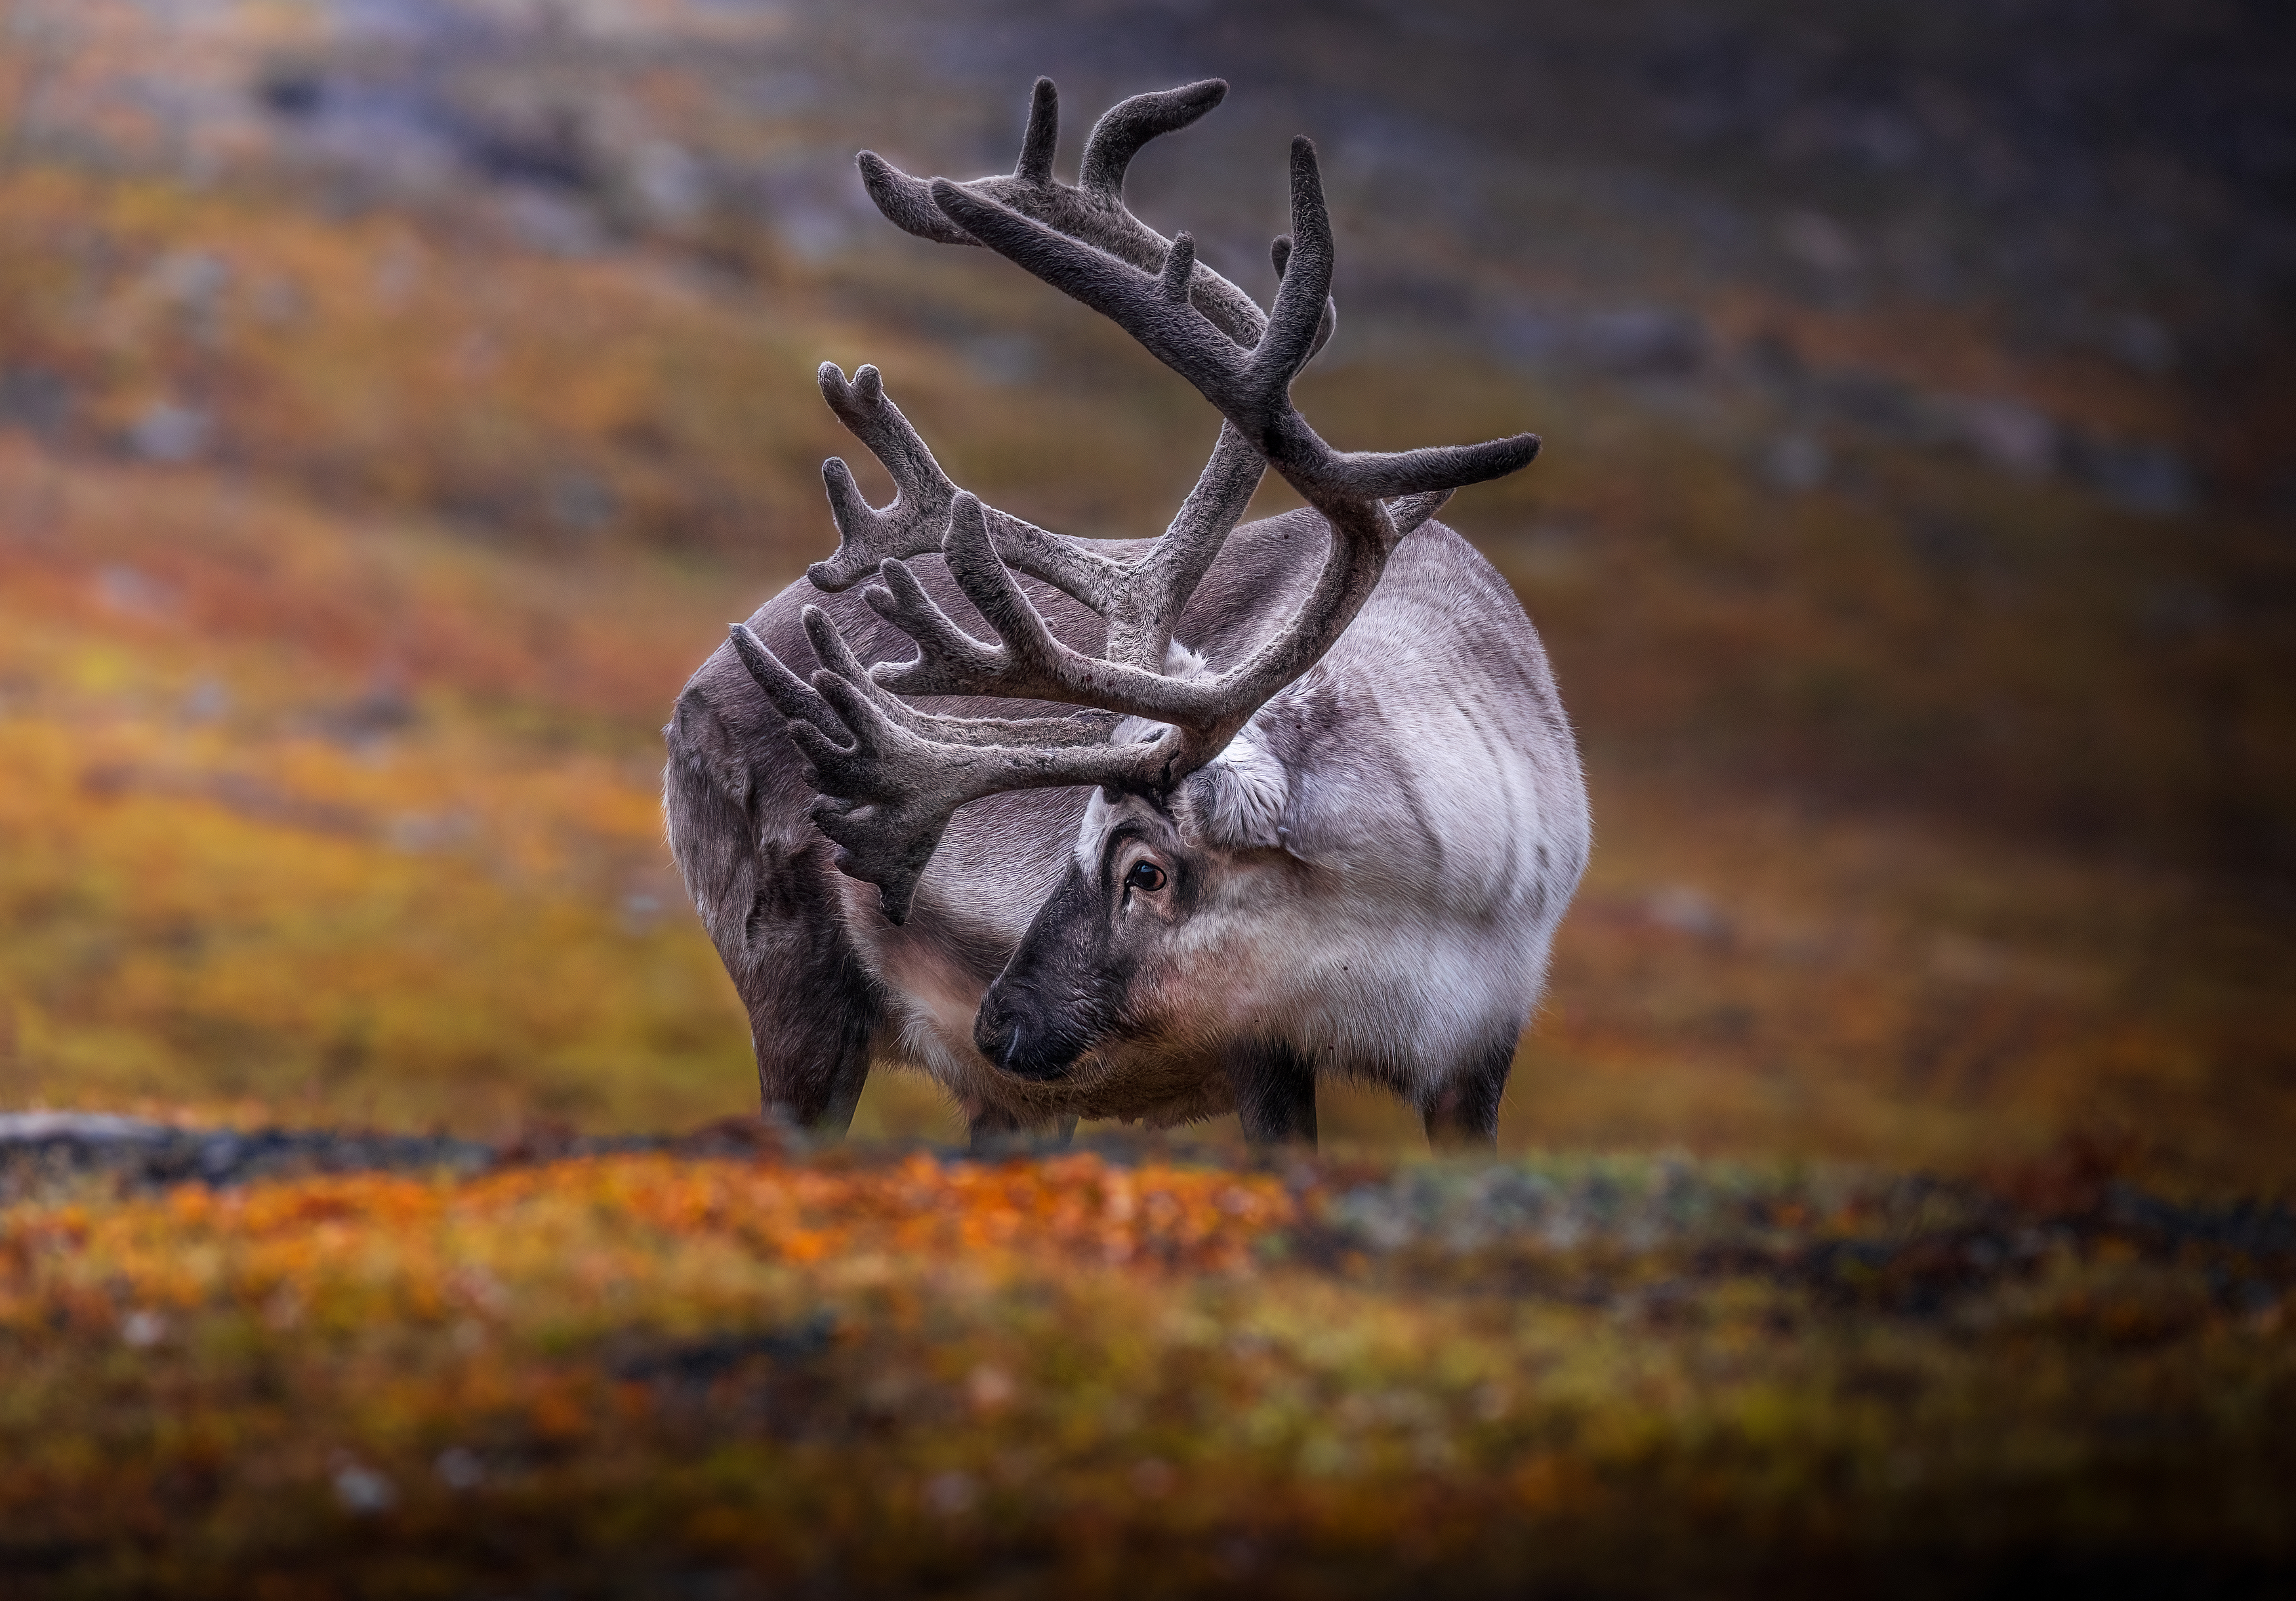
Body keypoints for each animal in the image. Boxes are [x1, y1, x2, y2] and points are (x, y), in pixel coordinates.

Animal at [663, 78, 1589, 1153]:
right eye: (1076, 836)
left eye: (1143, 869)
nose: (998, 1024)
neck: (1424, 902)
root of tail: (692, 690)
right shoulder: (1261, 1042)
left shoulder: (1479, 1054)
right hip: (798, 1001)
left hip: (1017, 1108)